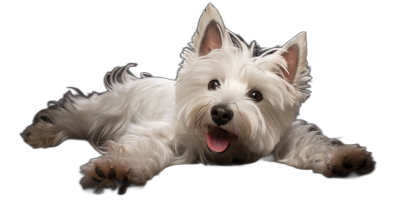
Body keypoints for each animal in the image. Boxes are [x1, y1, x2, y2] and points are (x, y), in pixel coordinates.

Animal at [21, 3, 374, 194]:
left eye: (256, 95)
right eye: (213, 84)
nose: (220, 113)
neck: (224, 153)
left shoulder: (284, 138)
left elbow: (312, 145)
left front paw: (345, 159)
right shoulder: (157, 132)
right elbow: (140, 148)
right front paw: (115, 170)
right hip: (101, 112)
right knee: (72, 112)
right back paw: (42, 133)